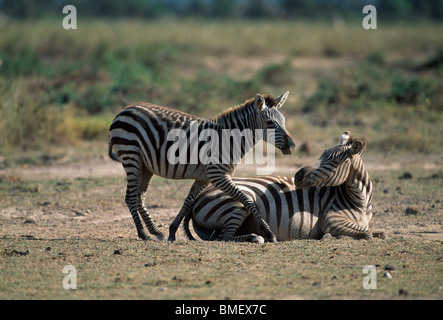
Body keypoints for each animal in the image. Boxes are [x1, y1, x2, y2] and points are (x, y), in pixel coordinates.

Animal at [108, 92, 296, 242]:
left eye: (284, 121)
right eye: (269, 122)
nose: (292, 146)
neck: (229, 140)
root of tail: (123, 111)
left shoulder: (203, 178)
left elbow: (188, 202)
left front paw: (172, 232)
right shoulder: (217, 175)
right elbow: (246, 199)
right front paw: (269, 233)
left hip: (145, 166)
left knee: (140, 197)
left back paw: (155, 231)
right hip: (131, 155)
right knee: (130, 197)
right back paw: (143, 234)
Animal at [184, 131, 386, 241]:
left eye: (334, 161)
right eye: (321, 155)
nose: (298, 176)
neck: (360, 201)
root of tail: (200, 196)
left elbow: (379, 232)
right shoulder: (331, 220)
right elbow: (367, 234)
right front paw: (333, 236)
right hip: (238, 202)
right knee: (224, 237)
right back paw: (256, 237)